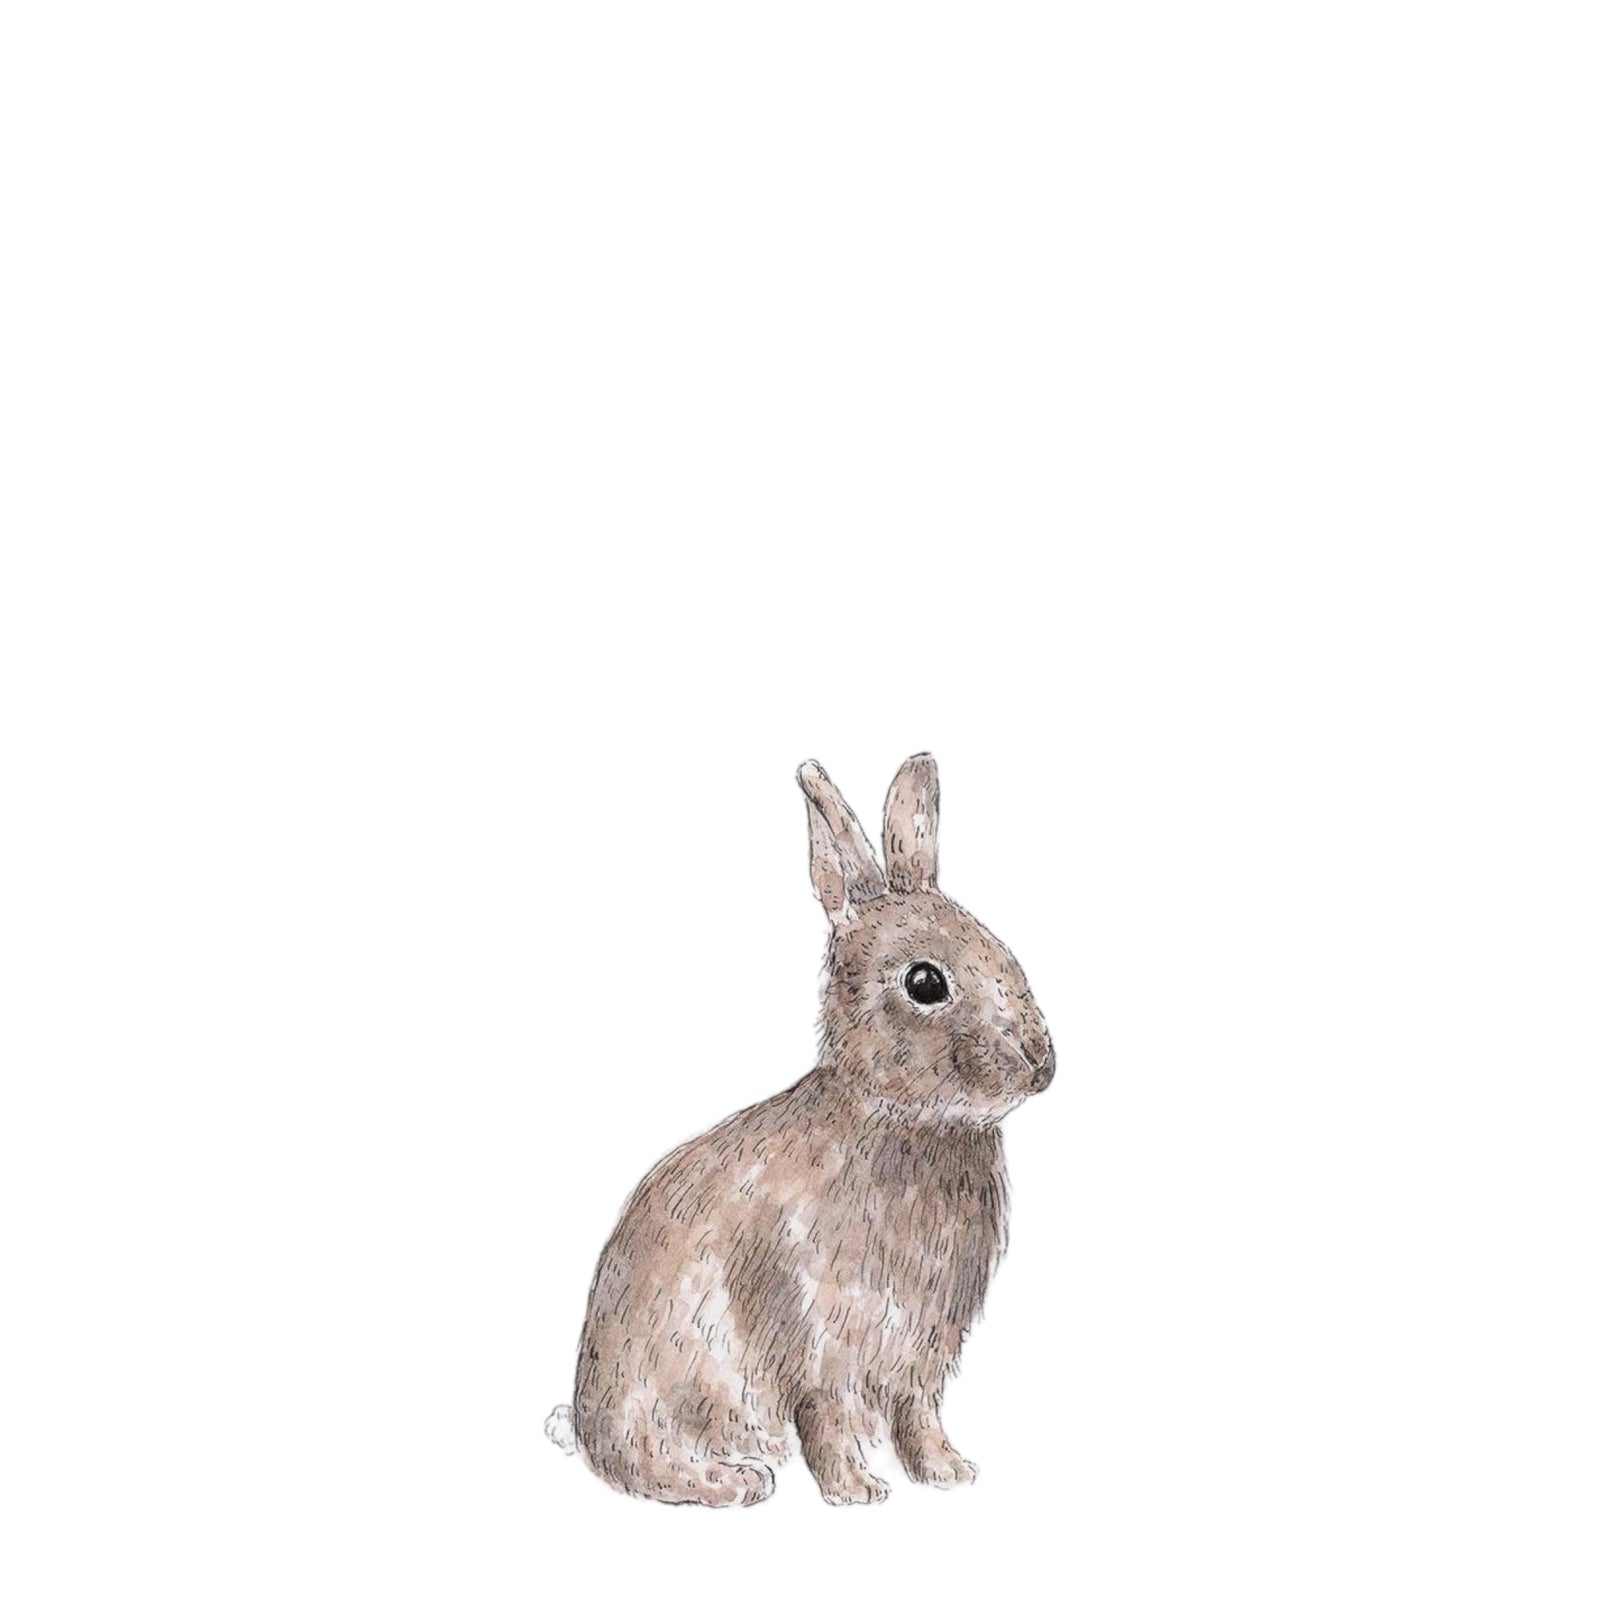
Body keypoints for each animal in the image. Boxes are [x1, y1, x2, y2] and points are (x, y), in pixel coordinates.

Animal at [544, 754, 1054, 1506]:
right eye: (925, 983)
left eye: (1001, 948)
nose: (1041, 1064)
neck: (901, 1117)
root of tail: (585, 1421)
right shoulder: (820, 1340)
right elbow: (829, 1417)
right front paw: (858, 1493)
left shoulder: (922, 1355)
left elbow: (919, 1416)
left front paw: (949, 1473)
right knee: (644, 1464)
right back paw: (737, 1481)